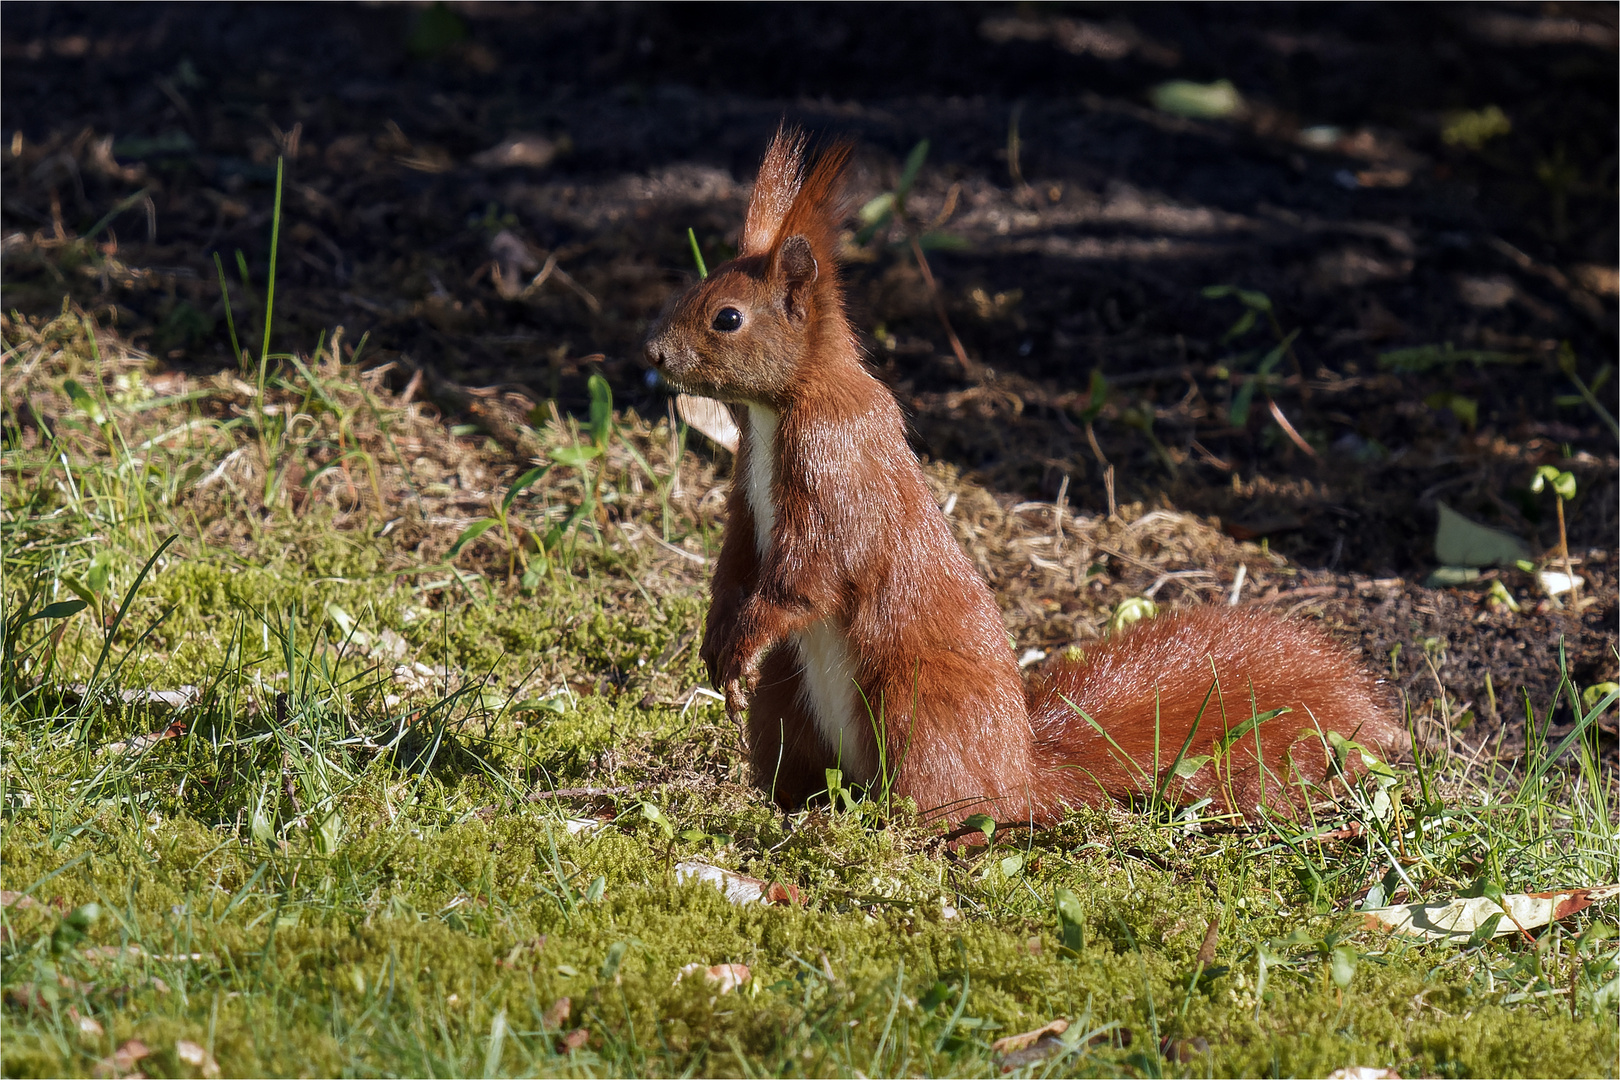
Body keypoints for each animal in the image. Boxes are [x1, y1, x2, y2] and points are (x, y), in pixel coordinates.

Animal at [641, 128, 1406, 829]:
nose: (652, 351)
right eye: (692, 288)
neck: (781, 411)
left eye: (728, 318)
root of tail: (1021, 771)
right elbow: (736, 562)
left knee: (958, 807)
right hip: (787, 703)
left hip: (915, 706)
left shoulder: (837, 471)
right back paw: (785, 814)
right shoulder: (748, 498)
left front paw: (741, 642)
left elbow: (810, 575)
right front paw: (716, 643)